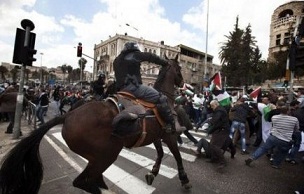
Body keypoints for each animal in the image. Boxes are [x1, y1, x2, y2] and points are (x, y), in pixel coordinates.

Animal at [0, 55, 191, 193]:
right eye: (179, 69)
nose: (183, 84)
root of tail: (69, 115)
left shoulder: (157, 136)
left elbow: (160, 153)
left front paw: (153, 172)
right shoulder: (169, 135)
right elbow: (177, 156)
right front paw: (184, 179)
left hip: (96, 157)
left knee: (92, 178)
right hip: (107, 154)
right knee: (82, 181)